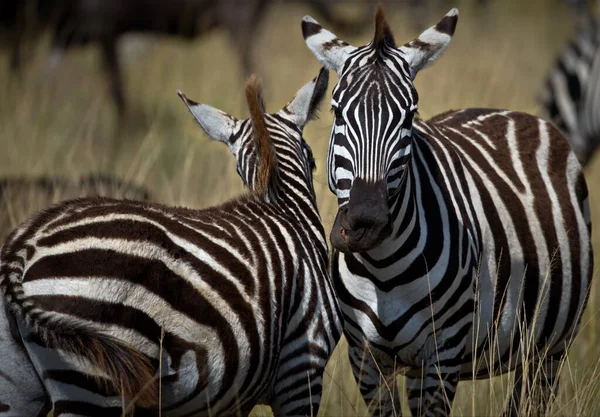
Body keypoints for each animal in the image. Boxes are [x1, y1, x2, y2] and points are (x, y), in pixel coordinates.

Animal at [0, 69, 340, 416]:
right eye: (313, 159)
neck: (286, 208)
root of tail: (24, 247)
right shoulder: (301, 366)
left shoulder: (235, 396)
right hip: (96, 380)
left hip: (19, 385)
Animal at [302, 4, 592, 416]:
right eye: (337, 112)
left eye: (410, 116)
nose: (365, 223)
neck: (382, 269)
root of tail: (507, 112)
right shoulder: (366, 359)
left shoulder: (444, 354)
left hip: (549, 348)